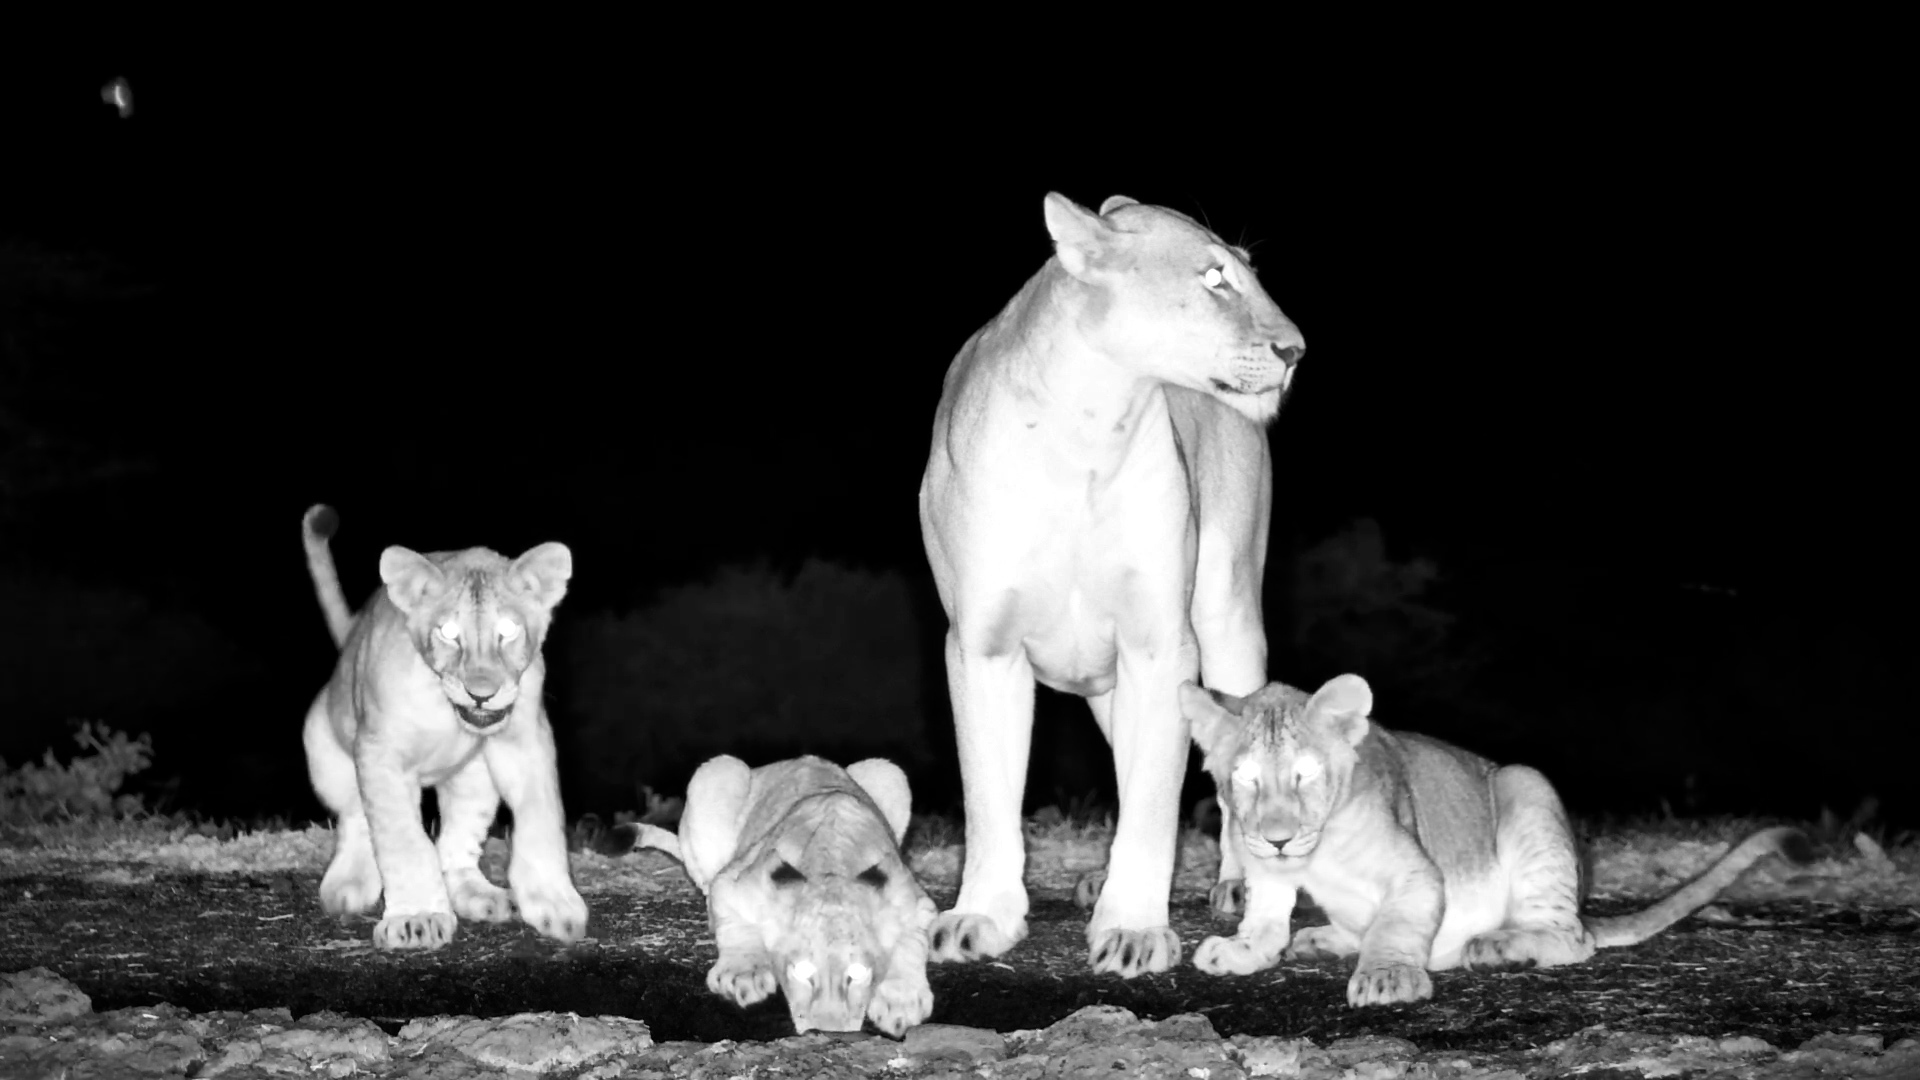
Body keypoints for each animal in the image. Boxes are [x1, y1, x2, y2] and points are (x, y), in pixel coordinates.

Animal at [299, 504, 587, 950]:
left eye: (508, 631)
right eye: (449, 633)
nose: (482, 694)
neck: (444, 709)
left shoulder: (525, 740)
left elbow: (542, 819)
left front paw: (554, 902)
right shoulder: (380, 752)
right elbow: (402, 840)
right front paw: (417, 917)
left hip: (476, 780)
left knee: (456, 843)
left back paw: (479, 895)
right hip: (326, 752)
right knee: (356, 818)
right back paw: (349, 883)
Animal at [611, 754, 937, 1037]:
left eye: (857, 973)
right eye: (803, 970)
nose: (827, 1032)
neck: (831, 865)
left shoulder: (916, 902)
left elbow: (911, 944)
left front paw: (900, 1001)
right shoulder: (732, 883)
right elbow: (735, 927)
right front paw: (742, 975)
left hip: (889, 772)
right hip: (717, 772)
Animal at [918, 192, 1305, 977]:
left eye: (1246, 271)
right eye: (1214, 278)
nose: (1296, 350)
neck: (1086, 428)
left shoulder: (1162, 643)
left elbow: (1156, 800)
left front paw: (1132, 929)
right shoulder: (981, 646)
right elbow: (989, 798)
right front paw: (980, 917)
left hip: (1228, 624)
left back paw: (1239, 881)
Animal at [1182, 674, 1812, 1006]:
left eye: (1304, 776)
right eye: (1245, 779)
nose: (1278, 839)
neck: (1312, 857)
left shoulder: (1416, 872)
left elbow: (1396, 925)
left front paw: (1387, 976)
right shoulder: (1265, 872)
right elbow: (1264, 921)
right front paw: (1241, 949)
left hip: (1525, 786)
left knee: (1572, 937)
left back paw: (1498, 944)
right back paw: (1322, 938)